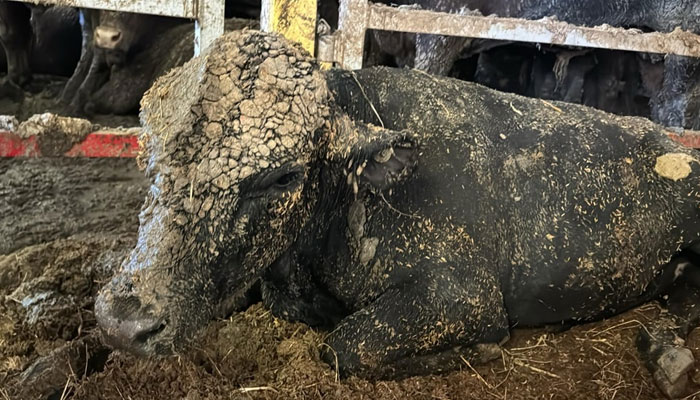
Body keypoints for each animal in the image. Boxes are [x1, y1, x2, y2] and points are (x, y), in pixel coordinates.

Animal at [94, 32, 700, 400]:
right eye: (148, 147)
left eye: (283, 176)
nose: (124, 320)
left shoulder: (466, 294)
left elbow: (344, 345)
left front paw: (472, 353)